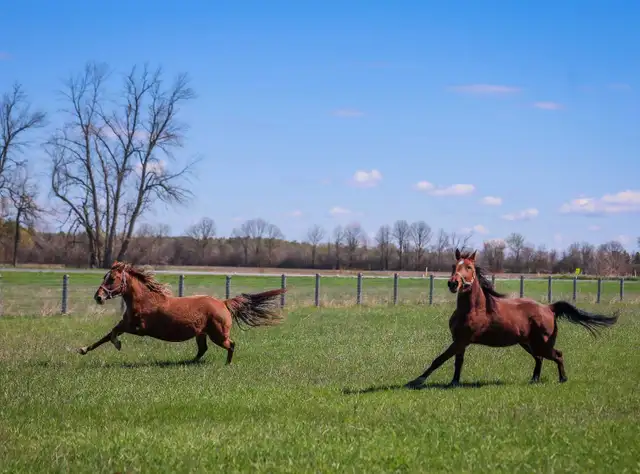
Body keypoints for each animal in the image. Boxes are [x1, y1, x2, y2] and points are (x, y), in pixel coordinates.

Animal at [77, 261, 286, 364]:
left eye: (112, 278)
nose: (98, 297)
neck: (144, 300)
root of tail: (223, 303)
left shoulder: (138, 328)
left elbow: (112, 333)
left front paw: (117, 344)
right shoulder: (126, 324)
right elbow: (106, 335)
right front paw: (83, 349)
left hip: (218, 334)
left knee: (231, 344)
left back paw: (227, 364)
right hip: (202, 333)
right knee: (203, 349)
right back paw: (188, 362)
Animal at [405, 249, 619, 389]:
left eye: (469, 267)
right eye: (453, 266)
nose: (453, 283)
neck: (474, 309)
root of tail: (549, 308)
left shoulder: (461, 340)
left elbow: (439, 359)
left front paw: (415, 381)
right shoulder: (459, 341)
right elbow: (458, 362)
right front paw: (454, 382)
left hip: (541, 343)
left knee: (557, 355)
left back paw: (562, 379)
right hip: (528, 343)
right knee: (540, 358)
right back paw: (534, 379)